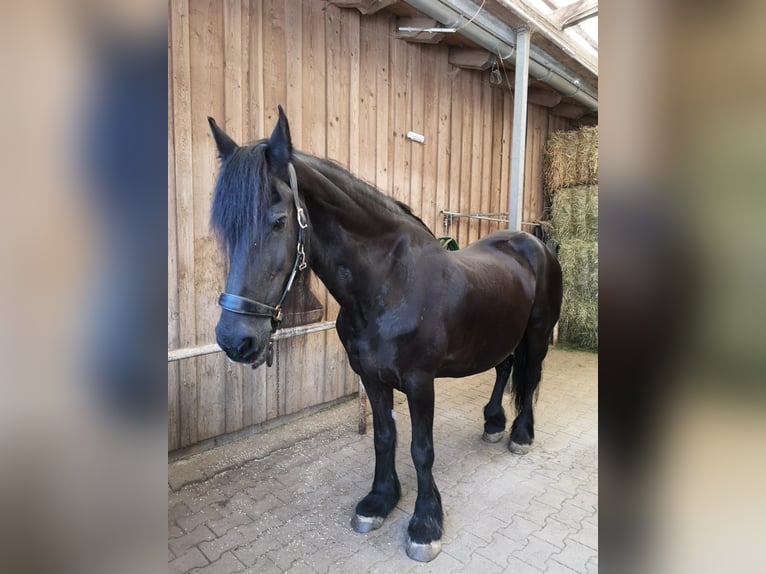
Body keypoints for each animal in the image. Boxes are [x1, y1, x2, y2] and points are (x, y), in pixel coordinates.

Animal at [208, 107, 562, 562]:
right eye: (226, 227)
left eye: (279, 221)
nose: (235, 339)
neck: (390, 285)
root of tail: (533, 243)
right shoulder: (373, 378)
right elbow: (384, 437)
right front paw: (379, 500)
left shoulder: (420, 382)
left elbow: (421, 450)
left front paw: (426, 524)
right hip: (501, 334)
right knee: (505, 369)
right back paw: (493, 422)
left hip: (536, 334)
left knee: (530, 377)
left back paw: (520, 434)